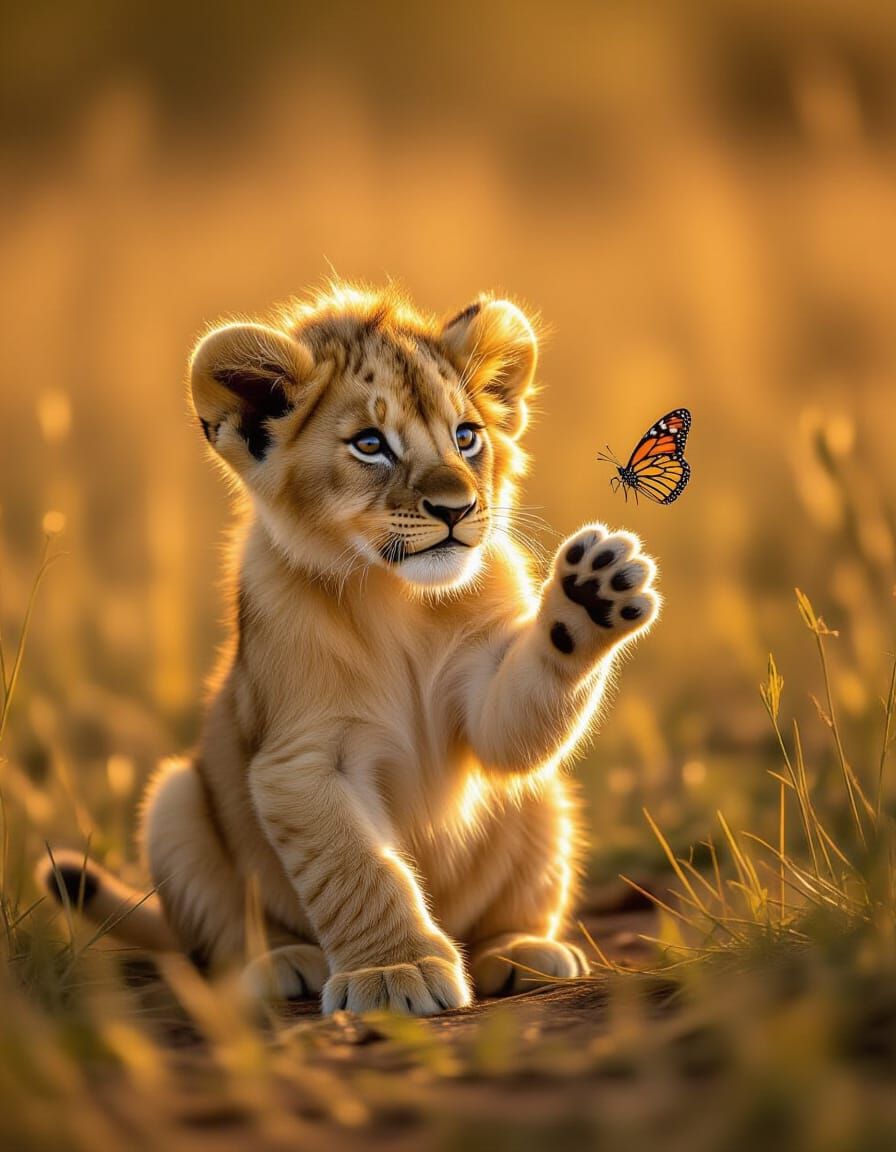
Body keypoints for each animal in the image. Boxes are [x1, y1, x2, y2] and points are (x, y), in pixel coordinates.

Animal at [43, 283, 659, 1015]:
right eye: (371, 445)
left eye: (466, 436)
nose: (457, 507)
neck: (397, 599)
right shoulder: (300, 761)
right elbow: (358, 870)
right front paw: (396, 972)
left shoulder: (485, 700)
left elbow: (510, 733)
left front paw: (592, 593)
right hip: (174, 802)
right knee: (221, 938)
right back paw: (279, 964)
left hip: (546, 801)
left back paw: (521, 952)